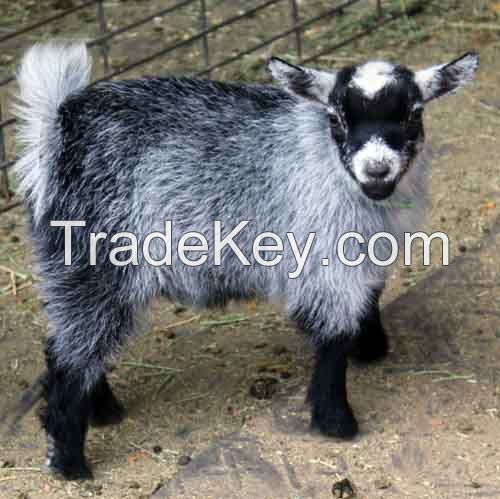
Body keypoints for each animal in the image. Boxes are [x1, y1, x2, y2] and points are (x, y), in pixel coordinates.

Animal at [13, 43, 478, 480]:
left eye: (412, 115)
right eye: (336, 119)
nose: (377, 170)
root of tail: (57, 127)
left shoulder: (365, 254)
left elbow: (369, 299)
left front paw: (372, 347)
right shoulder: (322, 262)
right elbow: (333, 336)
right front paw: (335, 420)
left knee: (64, 344)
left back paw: (104, 412)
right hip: (94, 259)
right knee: (73, 355)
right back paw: (70, 462)